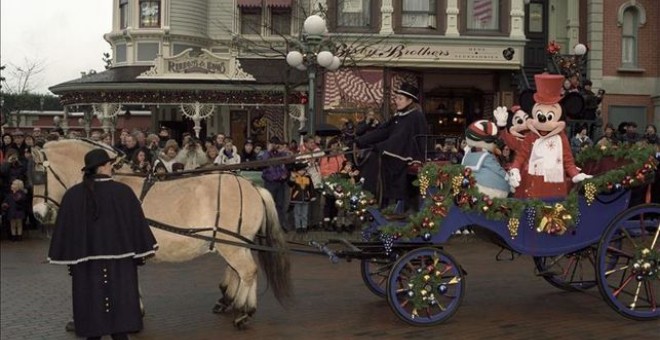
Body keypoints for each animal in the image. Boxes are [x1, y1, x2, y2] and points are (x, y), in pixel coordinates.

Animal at [31, 138, 292, 326]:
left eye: (37, 175)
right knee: (238, 271)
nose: (37, 214)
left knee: (247, 271)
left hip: (231, 243)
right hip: (234, 242)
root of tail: (253, 186)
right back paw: (230, 301)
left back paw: (245, 312)